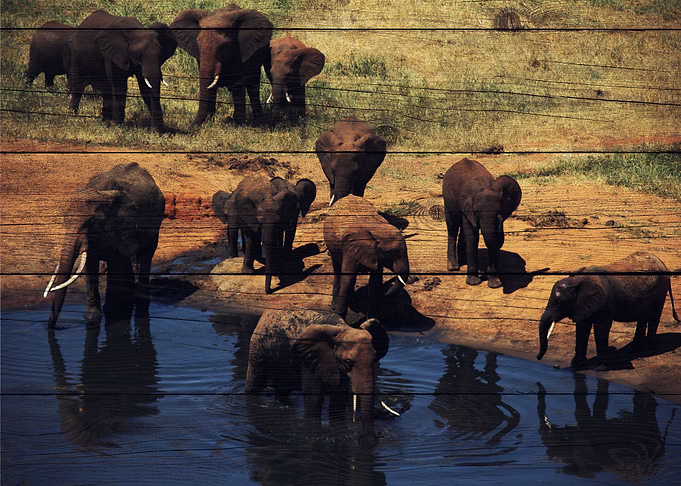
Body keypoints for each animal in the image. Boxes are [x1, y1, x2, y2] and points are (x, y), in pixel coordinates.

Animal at [44, 162, 165, 328]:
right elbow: (90, 266)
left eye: (91, 223)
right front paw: (92, 318)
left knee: (145, 255)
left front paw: (116, 313)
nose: (58, 327)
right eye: (64, 220)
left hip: (156, 224)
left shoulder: (122, 227)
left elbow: (116, 263)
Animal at [245, 309, 390, 430]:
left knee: (283, 389)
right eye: (348, 361)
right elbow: (314, 400)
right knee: (254, 386)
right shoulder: (309, 360)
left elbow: (338, 401)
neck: (343, 327)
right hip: (257, 350)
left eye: (374, 360)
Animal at [442, 158, 522, 288]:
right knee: (452, 227)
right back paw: (453, 267)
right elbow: (472, 237)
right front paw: (474, 283)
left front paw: (495, 284)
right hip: (447, 201)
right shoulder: (467, 206)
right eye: (477, 212)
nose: (500, 219)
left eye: (498, 212)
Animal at [536, 252, 680, 369]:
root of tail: (662, 262)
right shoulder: (584, 304)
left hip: (660, 290)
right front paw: (577, 364)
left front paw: (602, 367)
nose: (538, 358)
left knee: (654, 315)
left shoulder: (604, 302)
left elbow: (601, 328)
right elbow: (583, 327)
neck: (577, 280)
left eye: (560, 303)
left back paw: (648, 349)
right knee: (643, 316)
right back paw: (636, 347)